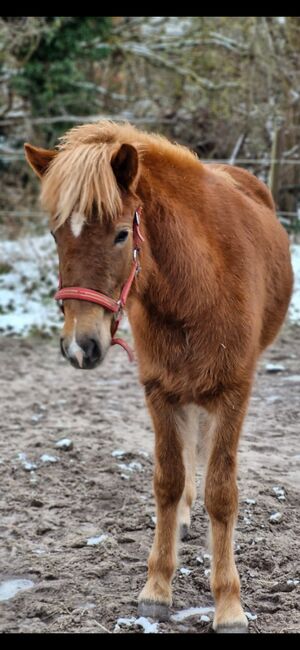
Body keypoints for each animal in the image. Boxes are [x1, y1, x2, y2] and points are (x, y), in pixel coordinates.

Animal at [24, 120, 292, 628]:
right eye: (54, 234)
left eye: (120, 234)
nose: (80, 345)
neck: (197, 285)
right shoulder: (160, 391)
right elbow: (167, 482)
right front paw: (157, 589)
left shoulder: (233, 391)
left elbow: (222, 492)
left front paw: (229, 605)